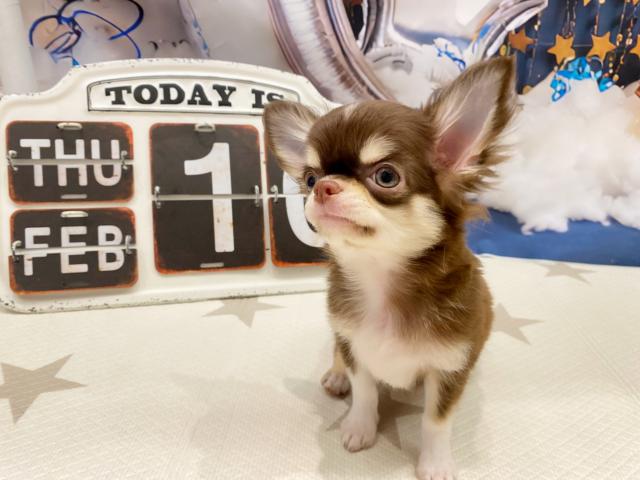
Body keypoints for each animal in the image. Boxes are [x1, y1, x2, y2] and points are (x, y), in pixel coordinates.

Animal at [264, 57, 516, 480]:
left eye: (386, 176)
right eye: (310, 178)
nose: (323, 187)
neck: (379, 278)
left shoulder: (449, 369)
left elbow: (436, 421)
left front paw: (435, 464)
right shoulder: (354, 345)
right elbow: (364, 392)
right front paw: (359, 429)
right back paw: (336, 376)